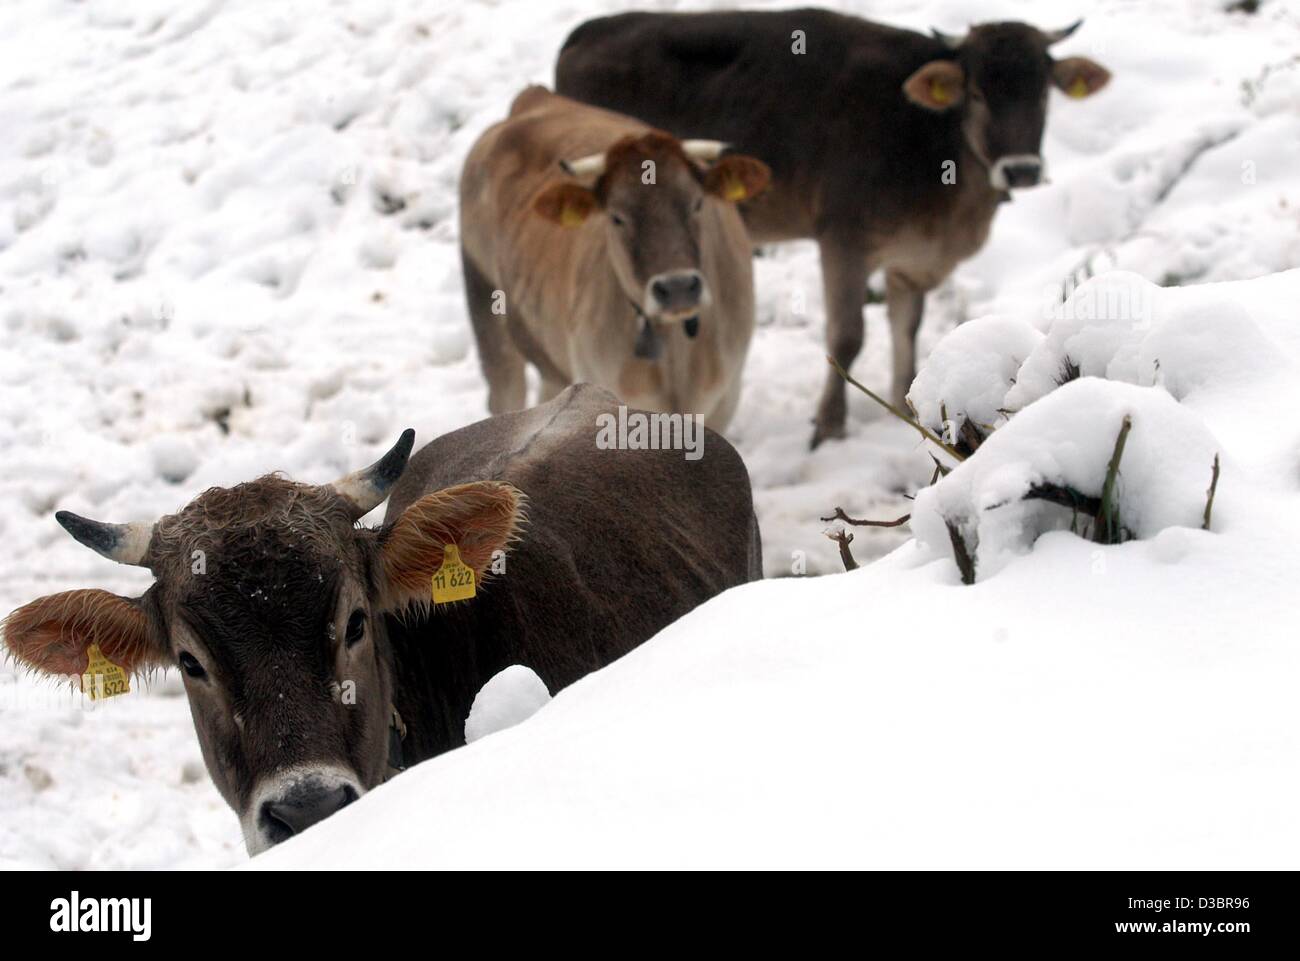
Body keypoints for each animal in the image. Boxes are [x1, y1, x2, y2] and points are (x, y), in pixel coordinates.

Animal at [459, 86, 771, 432]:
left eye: (697, 203)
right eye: (617, 217)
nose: (677, 288)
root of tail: (535, 96)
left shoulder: (724, 400)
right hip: (484, 301)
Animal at [555, 12, 1112, 446]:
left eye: (1043, 95)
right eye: (976, 93)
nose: (1021, 170)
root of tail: (587, 30)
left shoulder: (910, 259)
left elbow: (906, 326)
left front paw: (906, 405)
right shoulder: (844, 240)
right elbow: (848, 337)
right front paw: (828, 425)